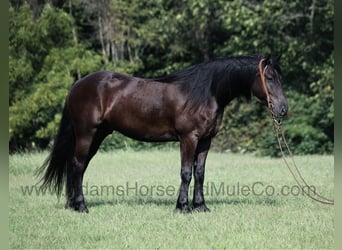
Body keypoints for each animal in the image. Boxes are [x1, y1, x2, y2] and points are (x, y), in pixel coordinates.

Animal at [37, 54, 288, 213]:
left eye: (279, 77)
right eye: (269, 78)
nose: (283, 109)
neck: (206, 93)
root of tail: (77, 85)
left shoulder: (205, 141)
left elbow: (199, 173)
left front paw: (201, 206)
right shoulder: (188, 138)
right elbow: (186, 173)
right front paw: (183, 207)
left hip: (97, 136)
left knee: (76, 167)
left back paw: (72, 204)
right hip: (86, 134)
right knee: (78, 165)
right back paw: (81, 206)